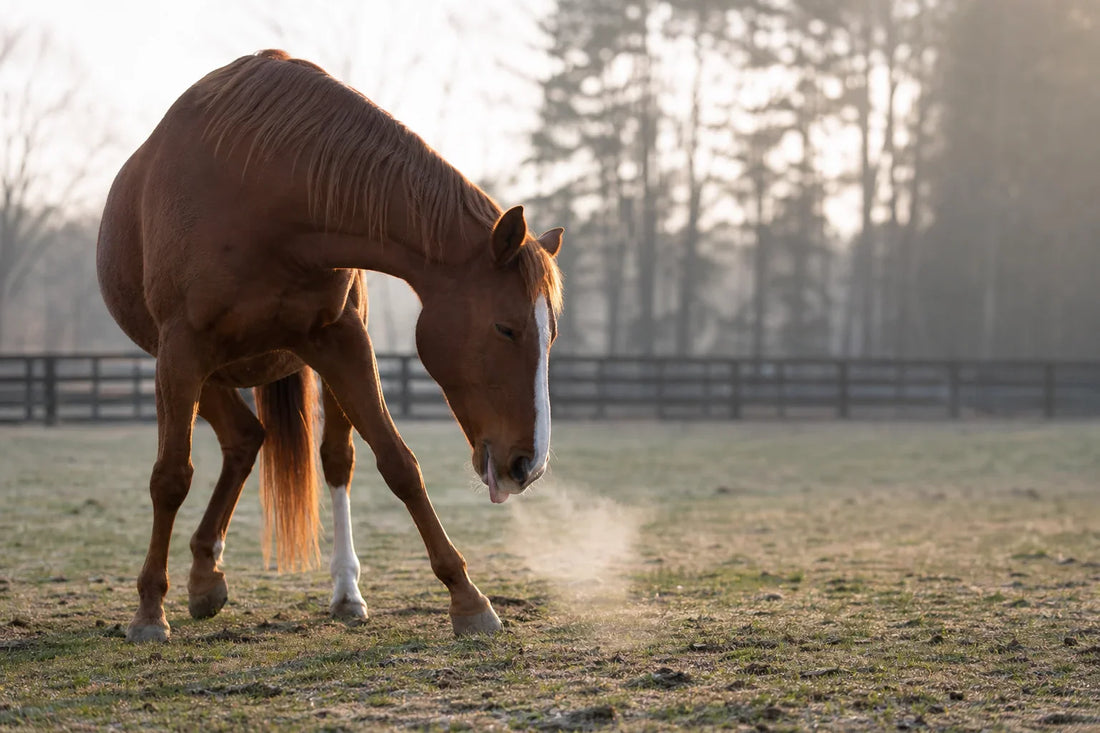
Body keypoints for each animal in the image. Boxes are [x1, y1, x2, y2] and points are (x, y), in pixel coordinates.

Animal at [96, 50, 564, 643]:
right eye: (506, 328)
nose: (529, 465)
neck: (267, 188)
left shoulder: (341, 340)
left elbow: (398, 464)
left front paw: (468, 598)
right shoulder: (181, 348)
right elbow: (171, 476)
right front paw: (149, 612)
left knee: (310, 454)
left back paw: (327, 590)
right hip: (195, 368)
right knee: (241, 441)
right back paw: (201, 576)